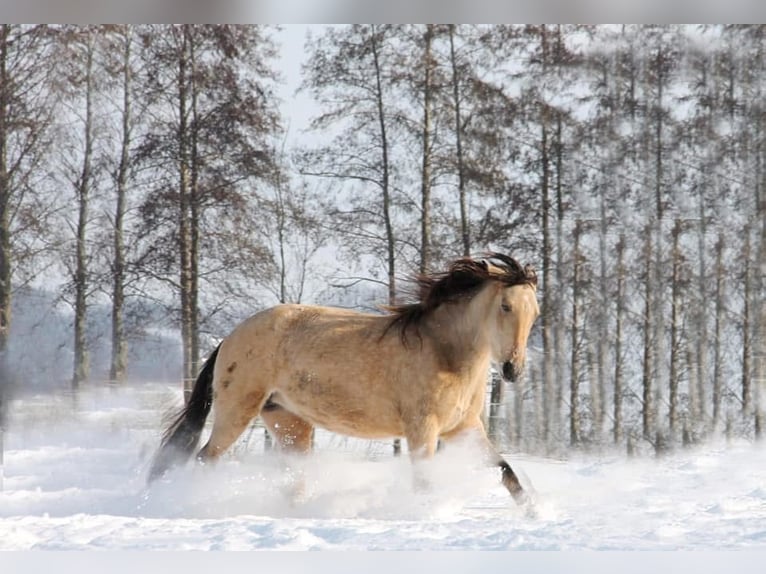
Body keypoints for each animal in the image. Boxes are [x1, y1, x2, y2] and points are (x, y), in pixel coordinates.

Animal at [148, 253, 540, 509]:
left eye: (534, 311)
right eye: (505, 306)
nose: (513, 370)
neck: (445, 352)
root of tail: (229, 339)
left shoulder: (464, 428)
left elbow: (506, 471)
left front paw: (535, 513)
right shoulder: (422, 430)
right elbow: (424, 483)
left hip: (288, 422)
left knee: (293, 476)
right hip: (237, 412)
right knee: (205, 458)